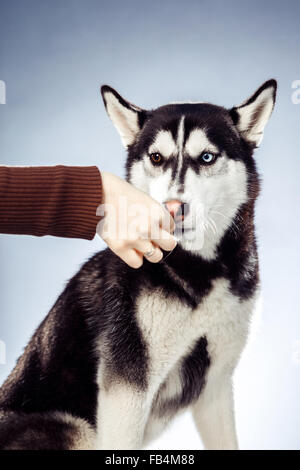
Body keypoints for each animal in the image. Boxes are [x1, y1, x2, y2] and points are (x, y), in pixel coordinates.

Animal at [0, 81, 276, 452]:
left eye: (206, 157)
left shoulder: (215, 386)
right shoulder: (127, 391)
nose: (173, 208)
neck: (199, 274)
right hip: (79, 429)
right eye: (156, 157)